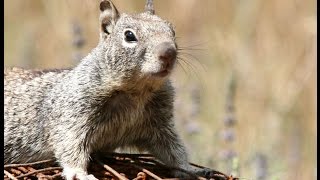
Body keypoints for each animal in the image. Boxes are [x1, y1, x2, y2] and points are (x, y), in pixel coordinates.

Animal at [3, 0, 212, 179]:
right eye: (129, 36)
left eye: (172, 30)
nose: (169, 52)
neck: (136, 92)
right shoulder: (74, 113)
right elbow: (70, 142)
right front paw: (79, 173)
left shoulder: (160, 124)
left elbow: (173, 149)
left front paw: (192, 168)